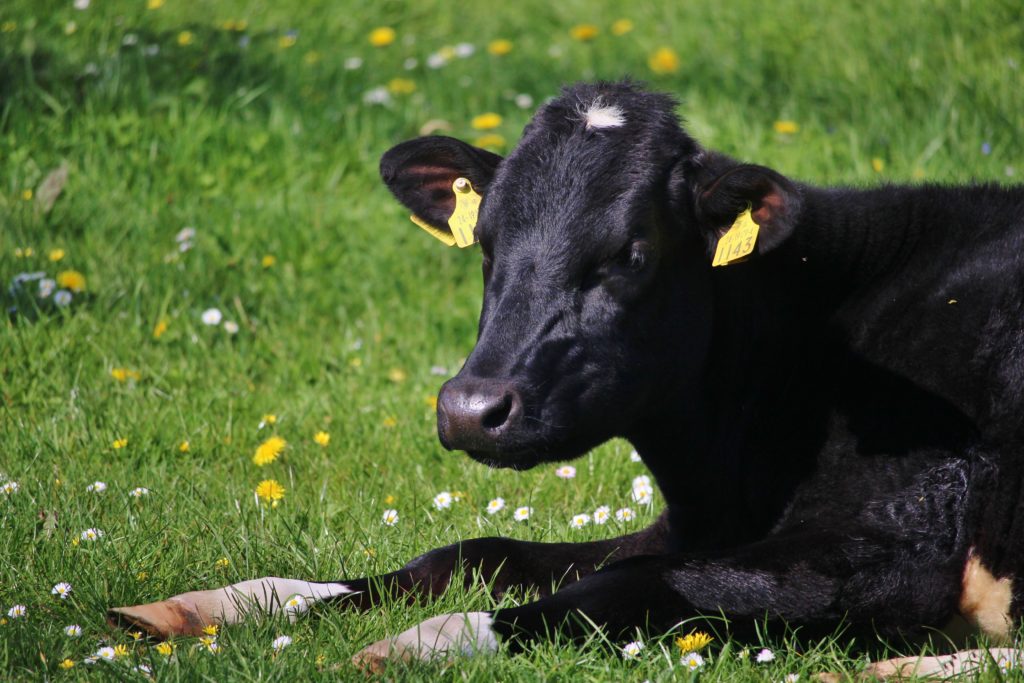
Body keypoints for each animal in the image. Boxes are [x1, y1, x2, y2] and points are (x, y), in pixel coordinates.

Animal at [109, 81, 1024, 677]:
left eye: (632, 252)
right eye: (485, 242)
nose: (470, 408)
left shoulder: (888, 541)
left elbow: (632, 584)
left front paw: (420, 640)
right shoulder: (692, 522)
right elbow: (478, 549)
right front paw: (221, 603)